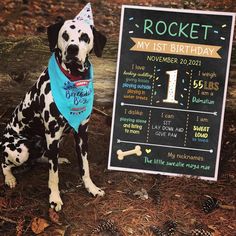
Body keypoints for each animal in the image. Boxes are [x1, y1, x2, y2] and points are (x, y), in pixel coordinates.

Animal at [0, 3, 106, 211]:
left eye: (85, 37)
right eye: (64, 35)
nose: (72, 49)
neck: (74, 79)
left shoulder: (82, 134)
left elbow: (85, 166)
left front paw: (91, 188)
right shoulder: (53, 134)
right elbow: (53, 175)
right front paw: (55, 198)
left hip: (53, 142)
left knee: (46, 157)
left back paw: (58, 159)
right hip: (20, 150)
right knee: (5, 164)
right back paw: (9, 178)